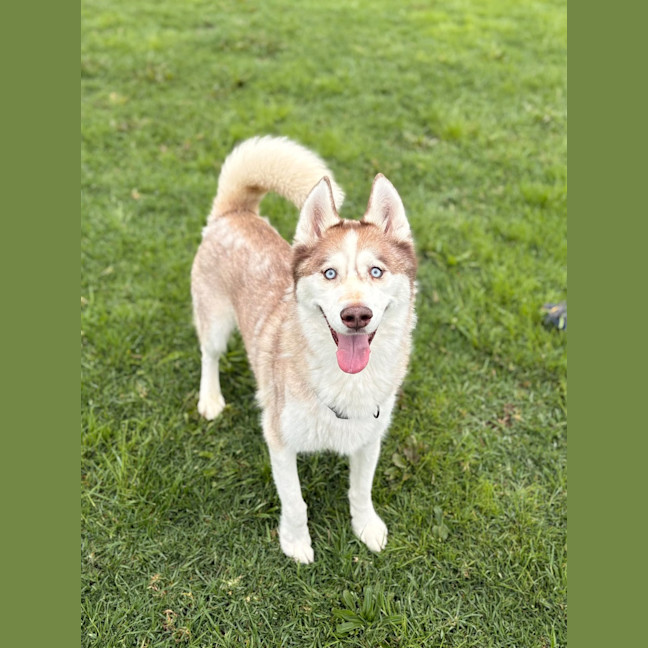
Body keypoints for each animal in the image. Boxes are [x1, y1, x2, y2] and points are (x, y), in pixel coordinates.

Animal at [191, 136, 416, 563]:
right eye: (329, 273)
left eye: (376, 272)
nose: (356, 315)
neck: (347, 384)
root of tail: (236, 213)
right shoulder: (279, 440)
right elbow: (296, 503)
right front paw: (296, 544)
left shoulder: (370, 440)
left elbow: (361, 491)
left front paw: (366, 527)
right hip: (215, 323)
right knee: (208, 356)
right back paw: (210, 398)